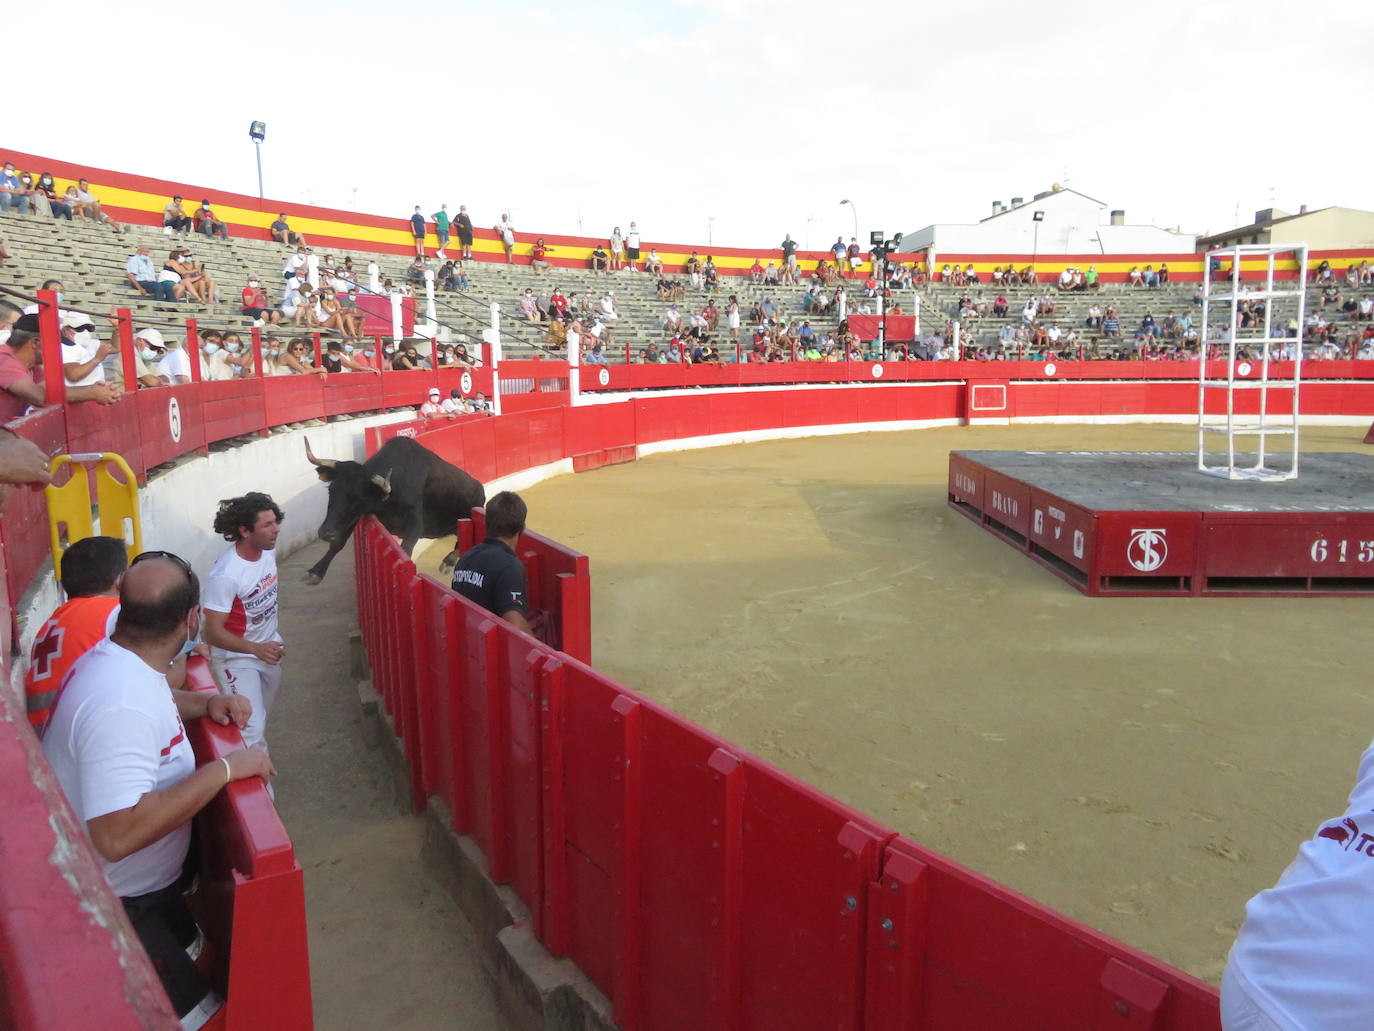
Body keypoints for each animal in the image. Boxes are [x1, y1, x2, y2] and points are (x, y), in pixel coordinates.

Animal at [303, 434, 486, 585]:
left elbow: (405, 552)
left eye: (359, 498)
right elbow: (338, 543)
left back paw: (448, 561)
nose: (326, 533)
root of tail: (480, 488)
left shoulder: (414, 526)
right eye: (331, 490)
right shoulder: (357, 516)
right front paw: (316, 572)